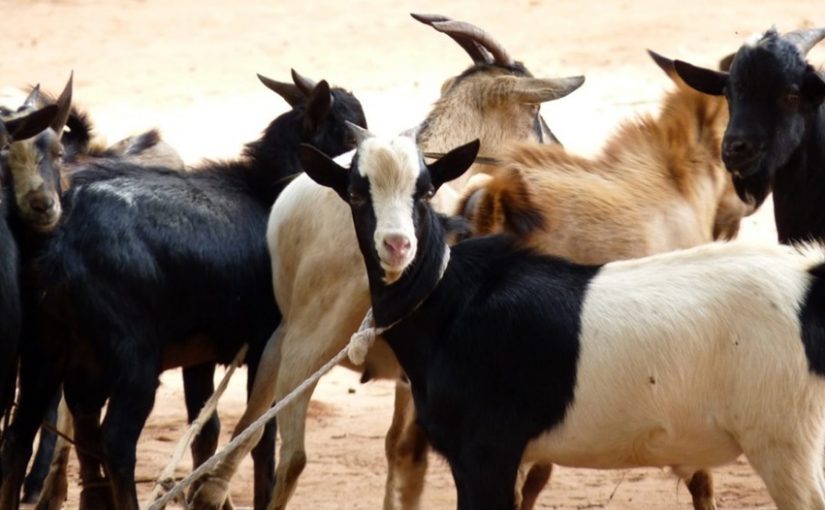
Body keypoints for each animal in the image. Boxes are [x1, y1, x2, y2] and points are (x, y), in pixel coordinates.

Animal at [0, 71, 366, 510]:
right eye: (347, 134)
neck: (264, 193)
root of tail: (59, 241)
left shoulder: (201, 355)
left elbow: (206, 430)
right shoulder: (267, 343)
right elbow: (260, 434)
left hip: (46, 348)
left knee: (21, 436)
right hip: (133, 361)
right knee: (115, 441)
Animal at [189, 13, 584, 510]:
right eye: (533, 111)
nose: (559, 152)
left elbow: (401, 451)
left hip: (284, 336)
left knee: (245, 434)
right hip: (312, 339)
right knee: (292, 456)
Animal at [301, 128, 825, 510]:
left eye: (426, 190)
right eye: (355, 194)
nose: (397, 245)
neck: (452, 301)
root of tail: (809, 279)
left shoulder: (486, 453)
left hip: (786, 442)